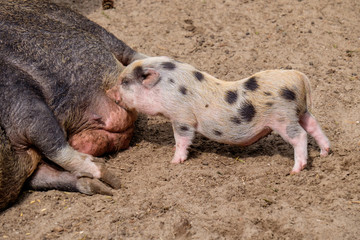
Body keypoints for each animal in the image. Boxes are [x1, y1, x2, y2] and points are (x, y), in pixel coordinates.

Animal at [0, 0, 146, 210]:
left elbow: (52, 141)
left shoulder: (18, 93)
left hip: (78, 20)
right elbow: (48, 176)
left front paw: (114, 181)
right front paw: (105, 188)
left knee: (129, 53)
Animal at [116, 56, 330, 172]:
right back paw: (325, 152)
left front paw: (174, 161)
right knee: (314, 126)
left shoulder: (182, 116)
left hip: (283, 117)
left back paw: (296, 170)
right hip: (301, 111)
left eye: (125, 82)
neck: (167, 87)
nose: (113, 96)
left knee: (300, 135)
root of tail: (298, 77)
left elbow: (182, 139)